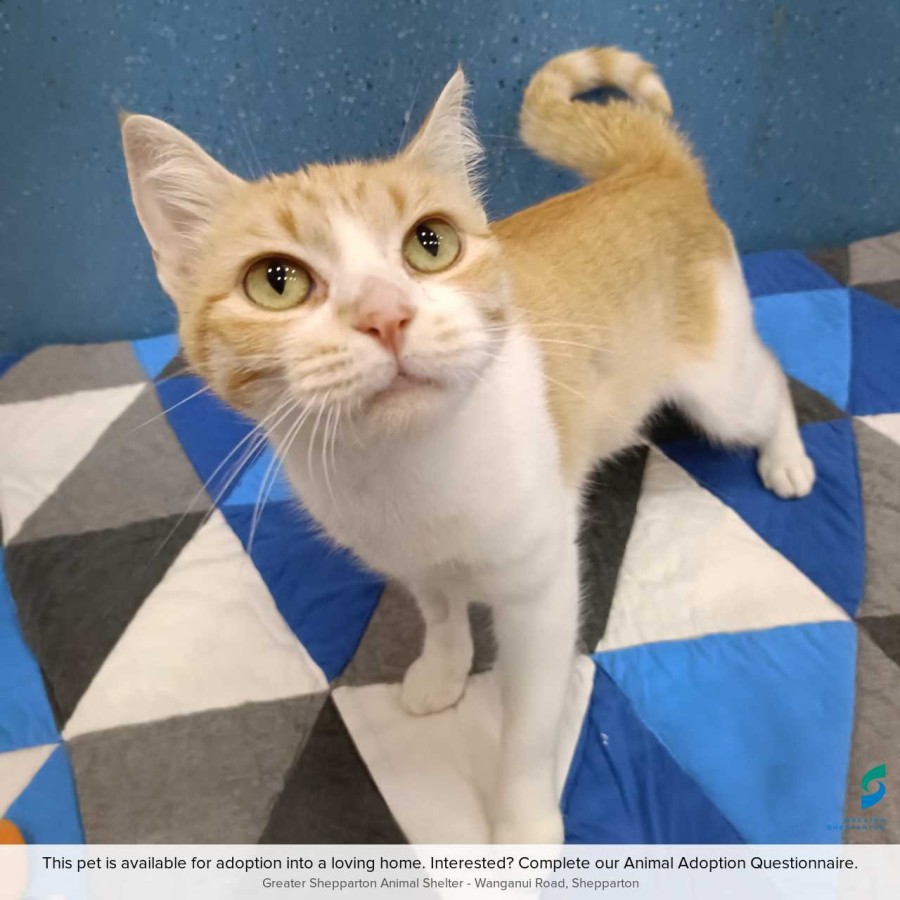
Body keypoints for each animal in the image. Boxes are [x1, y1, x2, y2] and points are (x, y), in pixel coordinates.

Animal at [120, 46, 815, 844]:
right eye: (276, 281)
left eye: (432, 244)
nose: (385, 314)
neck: (407, 472)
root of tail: (651, 173)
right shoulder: (414, 564)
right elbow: (442, 616)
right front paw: (442, 672)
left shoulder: (542, 595)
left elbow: (528, 727)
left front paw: (522, 826)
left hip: (718, 388)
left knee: (767, 379)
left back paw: (787, 459)